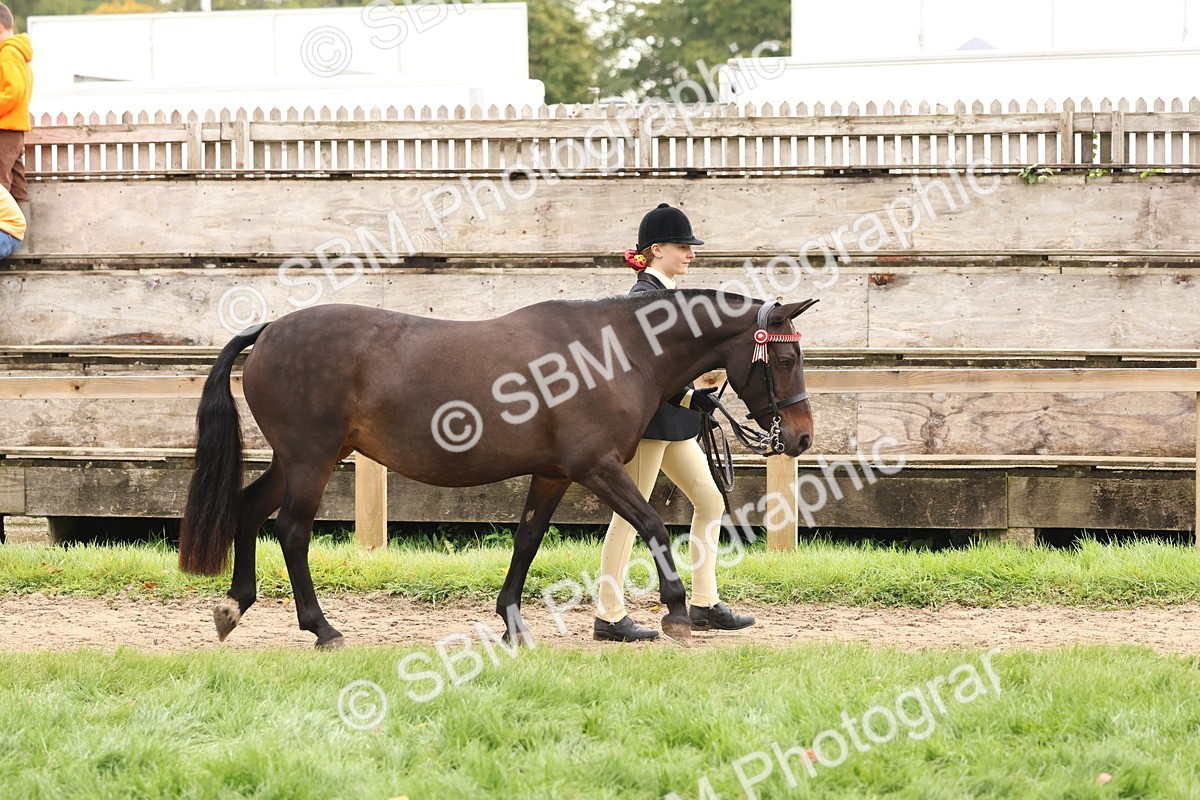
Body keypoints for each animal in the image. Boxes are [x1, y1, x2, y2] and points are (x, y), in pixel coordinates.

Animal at [178, 290, 817, 648]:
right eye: (785, 357)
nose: (802, 435)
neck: (615, 350)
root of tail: (268, 330)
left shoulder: (554, 472)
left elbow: (528, 540)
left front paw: (512, 622)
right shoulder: (596, 466)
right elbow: (654, 527)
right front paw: (678, 612)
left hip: (297, 461)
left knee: (248, 510)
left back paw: (233, 607)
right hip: (310, 459)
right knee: (291, 531)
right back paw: (322, 629)